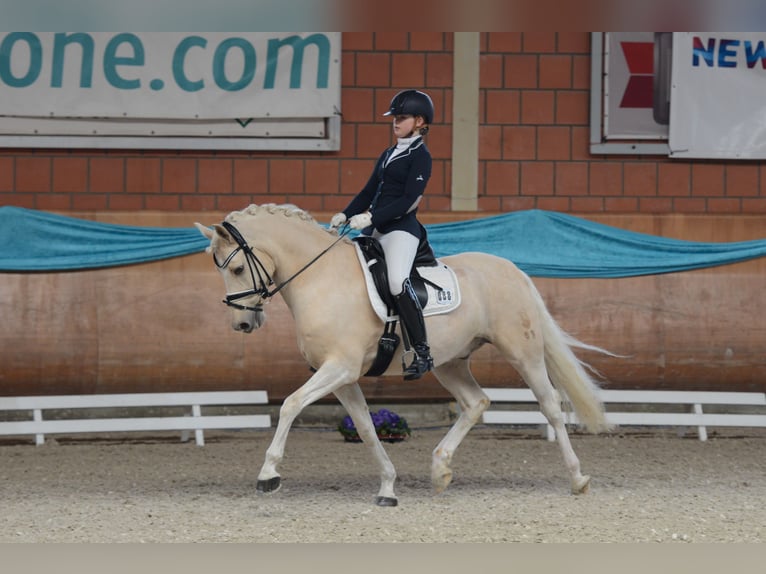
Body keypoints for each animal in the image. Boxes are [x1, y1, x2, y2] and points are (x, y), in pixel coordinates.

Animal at [196, 204, 612, 508]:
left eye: (237, 268)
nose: (243, 324)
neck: (321, 279)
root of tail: (513, 270)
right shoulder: (341, 377)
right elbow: (365, 428)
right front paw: (388, 487)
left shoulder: (340, 367)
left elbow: (290, 405)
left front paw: (268, 475)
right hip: (450, 362)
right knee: (475, 402)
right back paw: (440, 470)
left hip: (522, 351)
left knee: (551, 406)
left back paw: (578, 478)